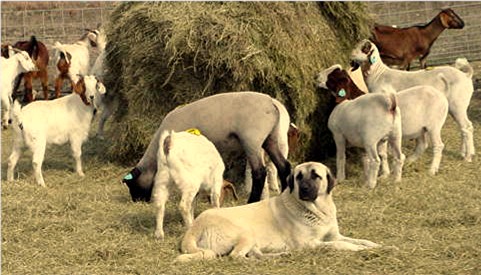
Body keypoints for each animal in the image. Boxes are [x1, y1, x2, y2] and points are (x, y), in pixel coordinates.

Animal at [122, 92, 290, 205]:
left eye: (132, 185)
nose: (137, 201)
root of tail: (272, 103)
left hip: (252, 139)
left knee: (260, 172)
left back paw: (251, 201)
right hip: (270, 138)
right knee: (284, 166)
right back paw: (284, 194)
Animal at [173, 163, 378, 262]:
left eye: (316, 176)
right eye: (298, 177)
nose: (304, 189)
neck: (317, 209)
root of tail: (194, 228)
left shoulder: (334, 235)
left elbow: (358, 240)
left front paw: (375, 245)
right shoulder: (309, 243)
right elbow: (339, 245)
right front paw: (356, 249)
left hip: (252, 240)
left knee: (255, 254)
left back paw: (280, 256)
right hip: (246, 233)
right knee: (236, 257)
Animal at [316, 66, 448, 176]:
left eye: (332, 77)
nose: (317, 77)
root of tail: (442, 96)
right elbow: (382, 154)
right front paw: (385, 173)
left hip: (434, 126)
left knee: (438, 146)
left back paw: (432, 170)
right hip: (420, 129)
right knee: (422, 145)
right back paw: (408, 162)